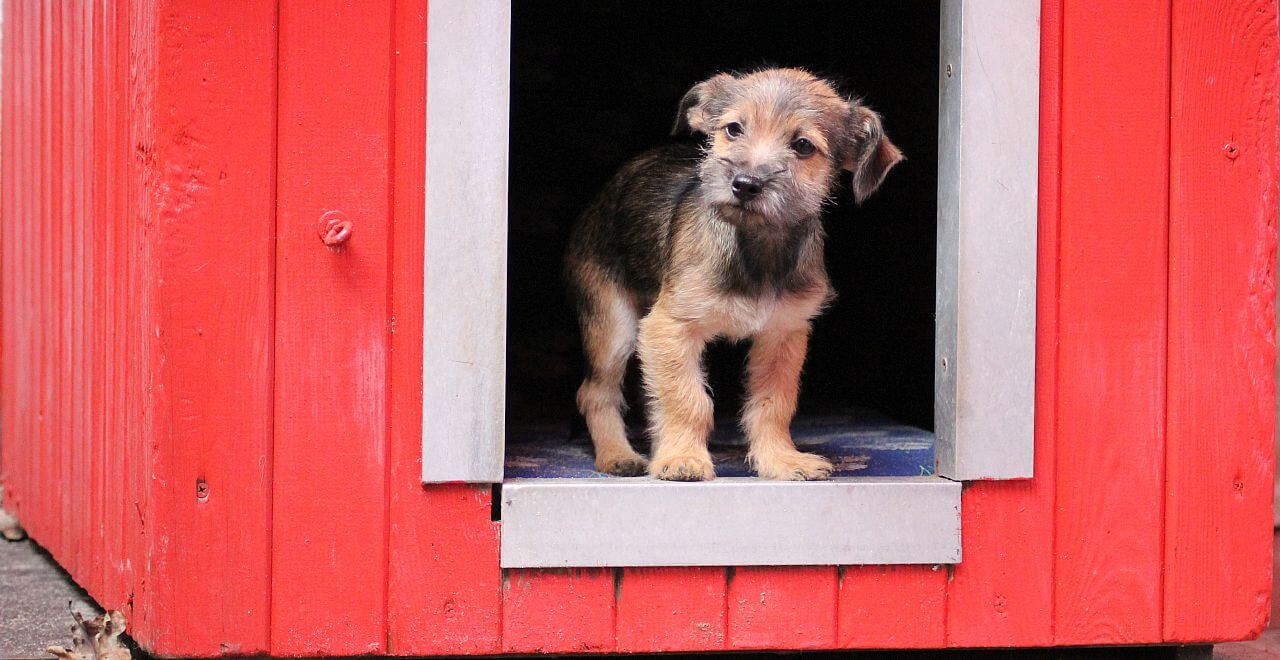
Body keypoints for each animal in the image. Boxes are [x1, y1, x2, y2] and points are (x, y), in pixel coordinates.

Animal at [565, 68, 906, 478]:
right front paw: (683, 458)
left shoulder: (783, 334)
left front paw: (780, 459)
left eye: (803, 146)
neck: (755, 246)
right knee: (596, 392)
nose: (745, 184)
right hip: (613, 326)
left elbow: (774, 405)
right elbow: (688, 399)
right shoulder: (669, 326)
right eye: (733, 129)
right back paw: (618, 454)